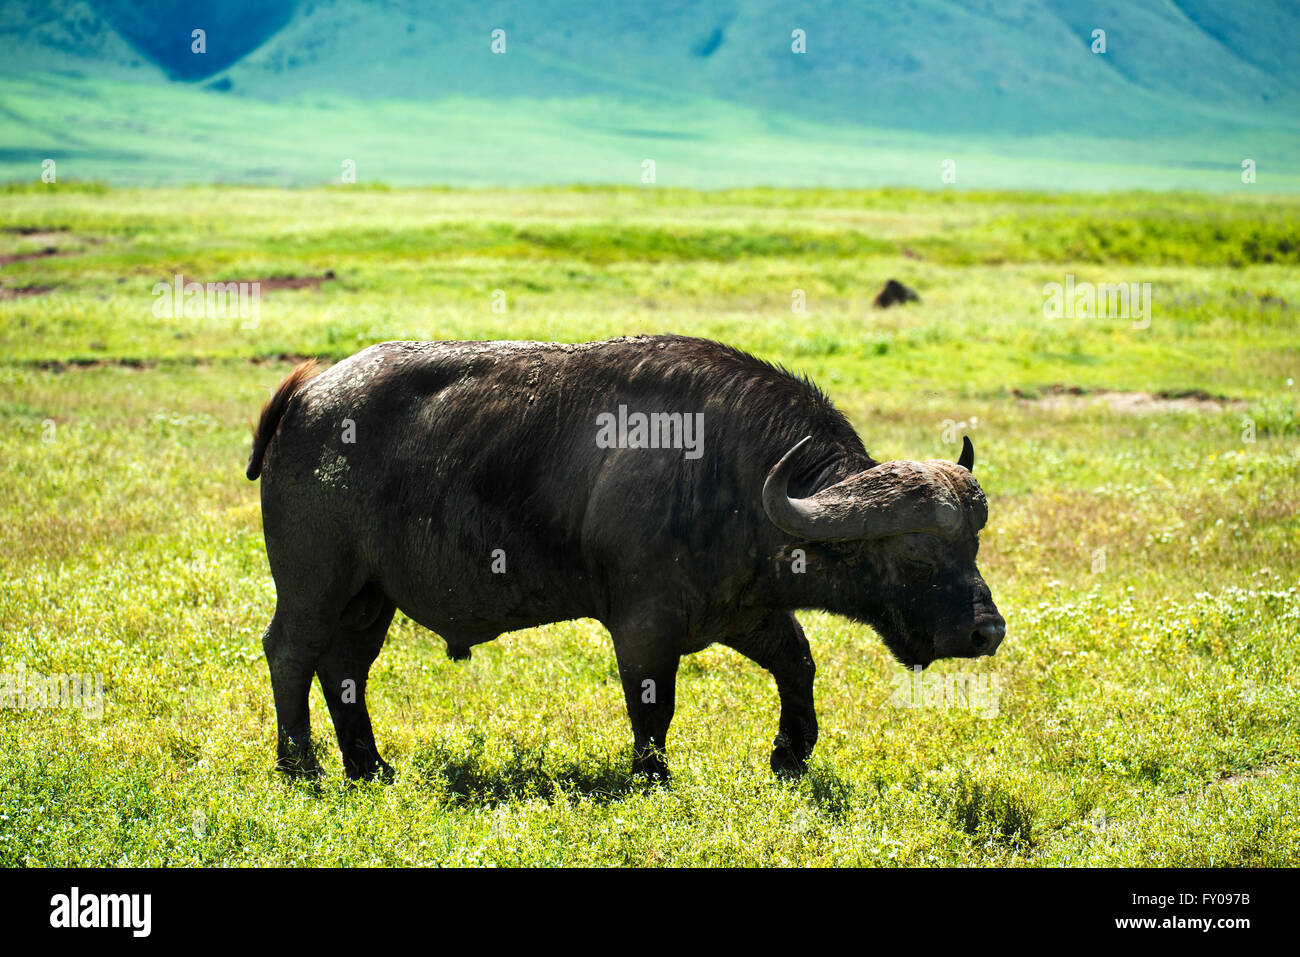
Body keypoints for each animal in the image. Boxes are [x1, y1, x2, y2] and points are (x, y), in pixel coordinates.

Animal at [245, 332, 1003, 780]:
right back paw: (302, 766)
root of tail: (308, 396)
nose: (987, 630)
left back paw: (370, 766)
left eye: (972, 545)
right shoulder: (645, 626)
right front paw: (652, 778)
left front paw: (788, 756)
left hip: (370, 598)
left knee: (345, 669)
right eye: (916, 555)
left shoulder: (744, 612)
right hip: (315, 584)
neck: (732, 475)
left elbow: (799, 664)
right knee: (290, 653)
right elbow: (653, 708)